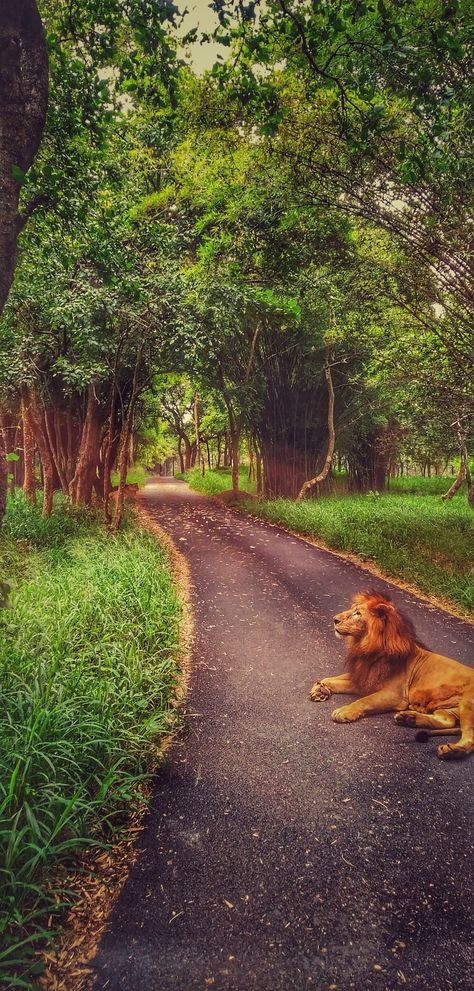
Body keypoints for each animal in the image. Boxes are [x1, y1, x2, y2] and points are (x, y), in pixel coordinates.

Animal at [312, 592, 474, 764]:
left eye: (358, 613)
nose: (334, 619)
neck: (367, 648)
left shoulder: (395, 695)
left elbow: (364, 700)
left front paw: (345, 711)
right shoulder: (365, 678)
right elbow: (333, 679)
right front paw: (320, 689)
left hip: (467, 703)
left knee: (469, 736)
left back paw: (453, 750)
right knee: (447, 720)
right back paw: (409, 719)